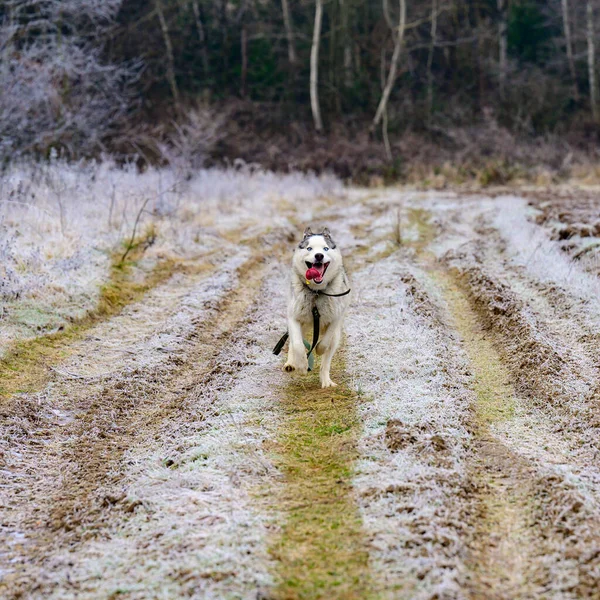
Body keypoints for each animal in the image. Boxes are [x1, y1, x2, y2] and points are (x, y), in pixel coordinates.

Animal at [282, 226, 350, 390]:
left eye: (325, 248)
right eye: (309, 248)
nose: (319, 256)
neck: (317, 292)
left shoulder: (335, 318)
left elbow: (325, 341)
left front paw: (319, 349)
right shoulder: (293, 317)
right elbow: (298, 344)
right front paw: (301, 365)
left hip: (336, 337)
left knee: (326, 362)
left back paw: (326, 381)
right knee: (293, 341)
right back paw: (291, 363)